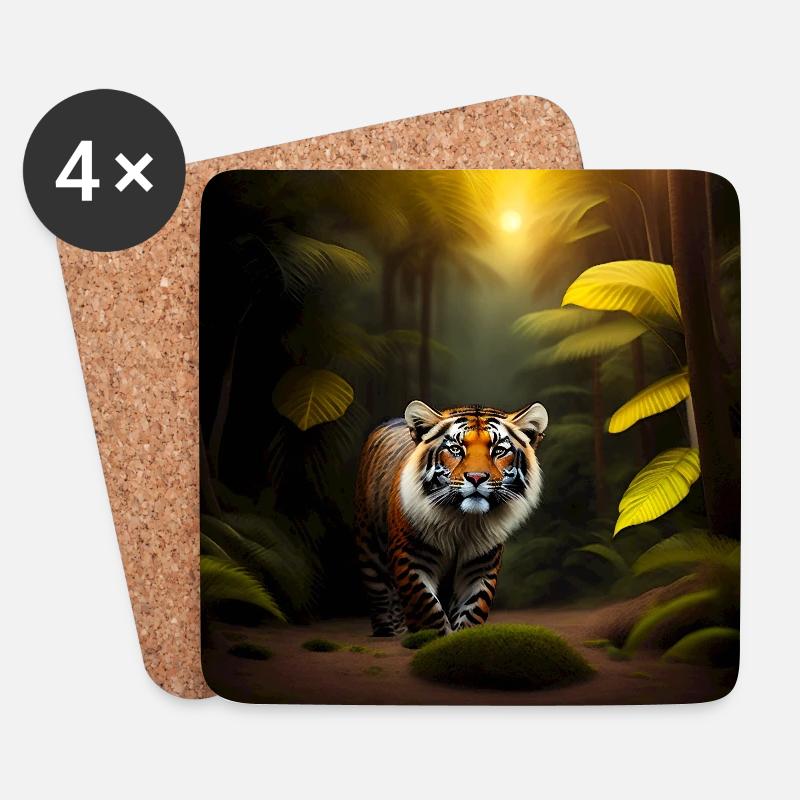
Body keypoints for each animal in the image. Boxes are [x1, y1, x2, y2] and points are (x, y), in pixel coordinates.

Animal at [354, 400, 548, 637]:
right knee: (380, 593)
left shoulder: (480, 564)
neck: (462, 521)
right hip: (369, 549)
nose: (476, 477)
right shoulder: (411, 556)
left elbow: (473, 609)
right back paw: (387, 631)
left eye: (499, 450)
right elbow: (427, 608)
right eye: (455, 449)